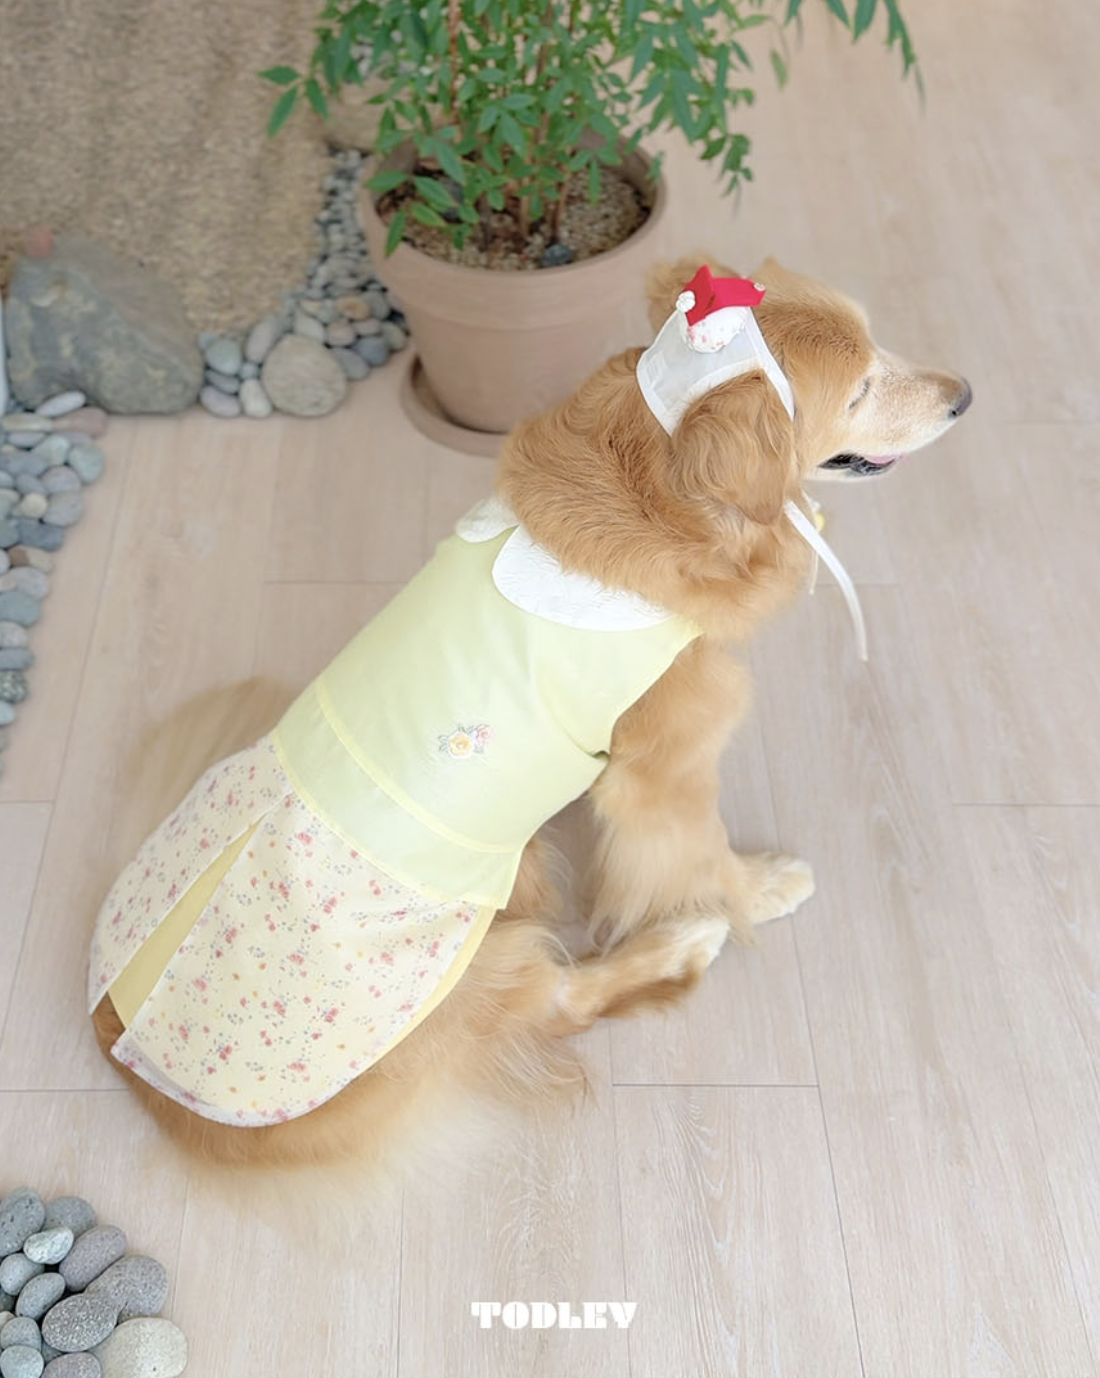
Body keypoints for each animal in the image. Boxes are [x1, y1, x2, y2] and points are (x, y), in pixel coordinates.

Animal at [90, 255, 970, 1172]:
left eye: (879, 342)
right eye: (863, 387)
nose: (965, 395)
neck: (659, 490)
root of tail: (125, 1052)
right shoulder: (669, 771)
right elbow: (699, 853)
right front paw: (753, 890)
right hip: (472, 959)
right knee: (559, 999)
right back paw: (677, 945)